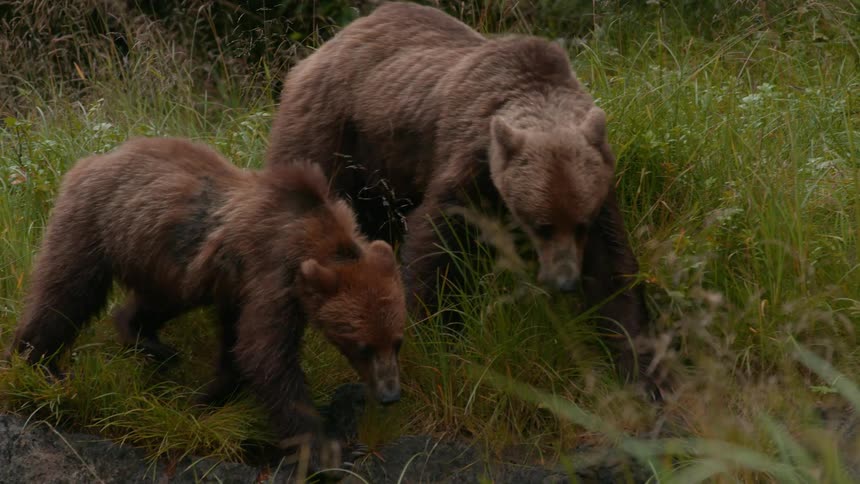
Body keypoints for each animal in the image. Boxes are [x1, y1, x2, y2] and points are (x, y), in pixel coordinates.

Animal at [5, 137, 407, 466]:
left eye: (397, 341)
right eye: (363, 345)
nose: (391, 395)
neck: (314, 238)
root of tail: (92, 159)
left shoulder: (240, 287)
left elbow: (238, 345)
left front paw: (207, 397)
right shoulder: (270, 273)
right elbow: (266, 354)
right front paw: (325, 448)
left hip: (168, 261)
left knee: (156, 301)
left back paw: (150, 342)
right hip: (94, 225)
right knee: (65, 294)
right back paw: (34, 364)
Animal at [264, 1, 653, 387]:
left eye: (580, 224)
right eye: (540, 225)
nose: (565, 281)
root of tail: (318, 51)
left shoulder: (600, 187)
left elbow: (612, 266)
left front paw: (638, 365)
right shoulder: (469, 165)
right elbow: (434, 245)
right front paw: (436, 339)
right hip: (334, 138)